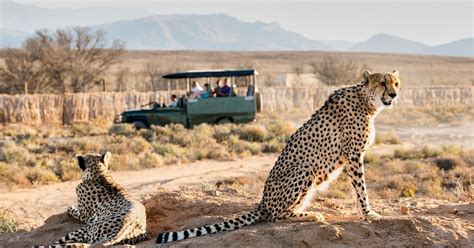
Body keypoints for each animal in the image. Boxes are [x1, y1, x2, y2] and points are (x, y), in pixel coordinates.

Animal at [157, 69, 402, 243]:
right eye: (383, 83)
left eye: (396, 83)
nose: (394, 94)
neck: (367, 101)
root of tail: (263, 202)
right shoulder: (353, 154)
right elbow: (361, 189)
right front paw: (368, 214)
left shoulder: (353, 156)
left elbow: (357, 189)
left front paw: (365, 213)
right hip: (305, 168)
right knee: (276, 215)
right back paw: (311, 215)